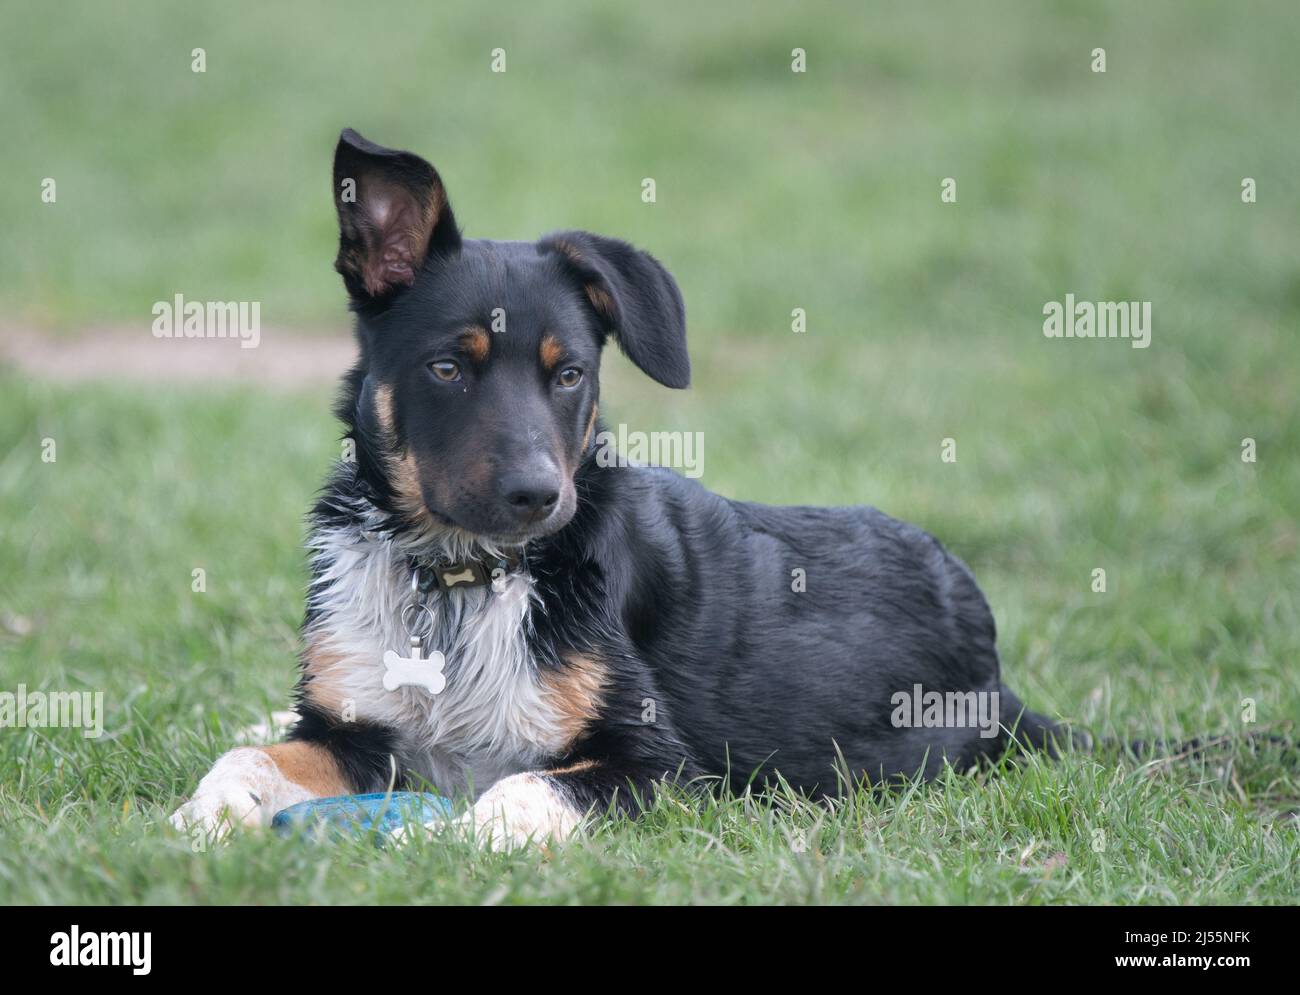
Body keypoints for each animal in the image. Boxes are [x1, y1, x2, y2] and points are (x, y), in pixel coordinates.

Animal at [170, 128, 1066, 848]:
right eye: (448, 367)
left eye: (568, 373)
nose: (537, 496)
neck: (460, 578)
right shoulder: (352, 730)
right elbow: (252, 754)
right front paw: (201, 814)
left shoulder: (663, 763)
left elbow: (520, 787)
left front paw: (444, 839)